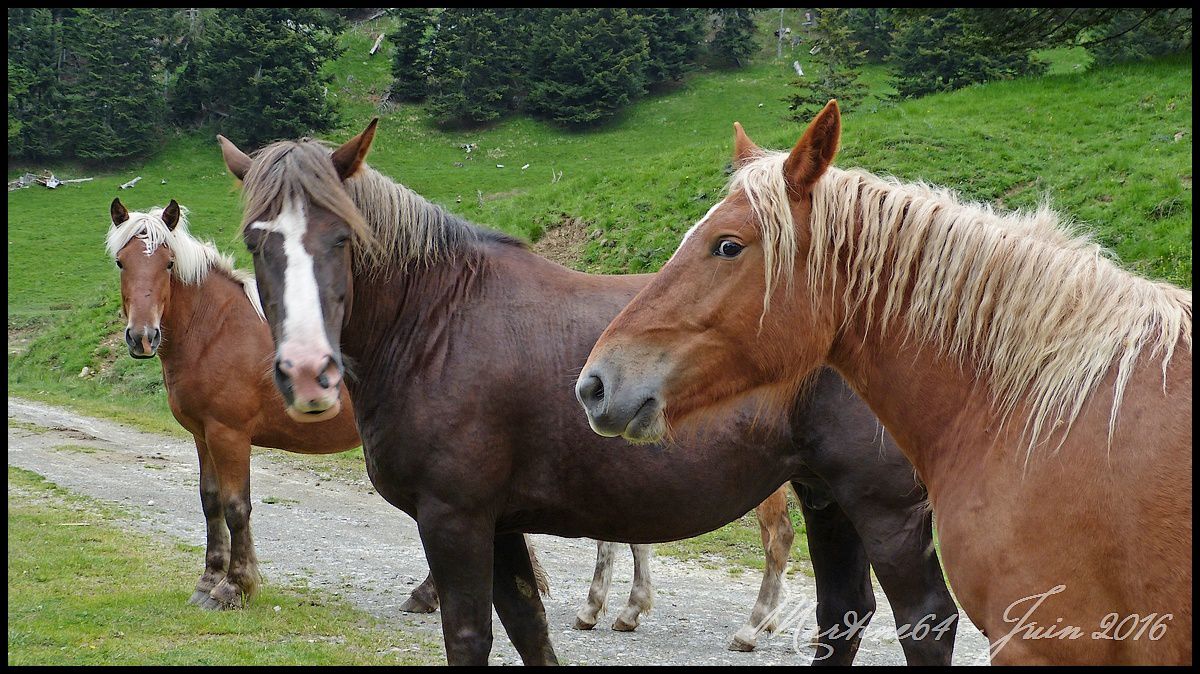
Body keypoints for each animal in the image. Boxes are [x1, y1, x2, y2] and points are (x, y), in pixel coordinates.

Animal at [218, 123, 964, 662]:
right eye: (257, 242)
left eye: (342, 237)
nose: (307, 371)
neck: (438, 323)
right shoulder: (500, 523)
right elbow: (529, 626)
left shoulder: (456, 517)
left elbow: (472, 634)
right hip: (826, 497)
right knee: (843, 614)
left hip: (883, 508)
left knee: (924, 619)